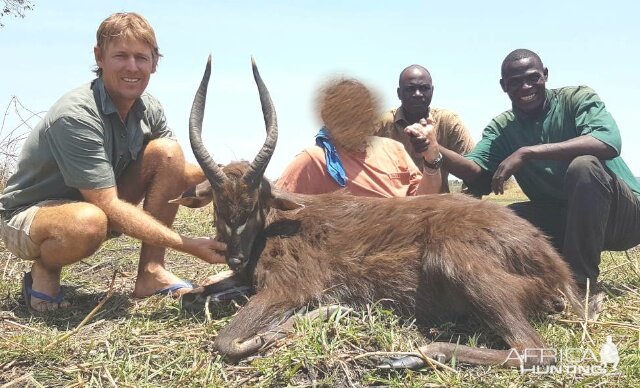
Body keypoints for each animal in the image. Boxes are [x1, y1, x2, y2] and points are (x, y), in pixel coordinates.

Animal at [176, 56, 596, 368]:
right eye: (218, 205)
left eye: (255, 204)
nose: (235, 257)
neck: (275, 228)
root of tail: (552, 263)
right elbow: (192, 294)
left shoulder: (289, 287)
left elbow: (228, 342)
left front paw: (323, 313)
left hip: (458, 264)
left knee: (535, 350)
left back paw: (412, 354)